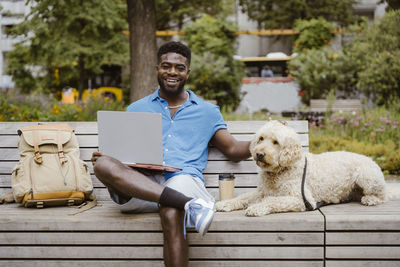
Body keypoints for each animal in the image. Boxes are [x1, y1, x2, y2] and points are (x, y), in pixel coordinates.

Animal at [216, 120, 388, 217]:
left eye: (276, 142)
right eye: (261, 138)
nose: (259, 154)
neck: (280, 171)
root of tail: (371, 159)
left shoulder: (301, 199)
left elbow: (272, 200)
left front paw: (257, 207)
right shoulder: (262, 192)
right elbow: (243, 197)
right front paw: (225, 203)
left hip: (366, 176)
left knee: (382, 195)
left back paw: (371, 199)